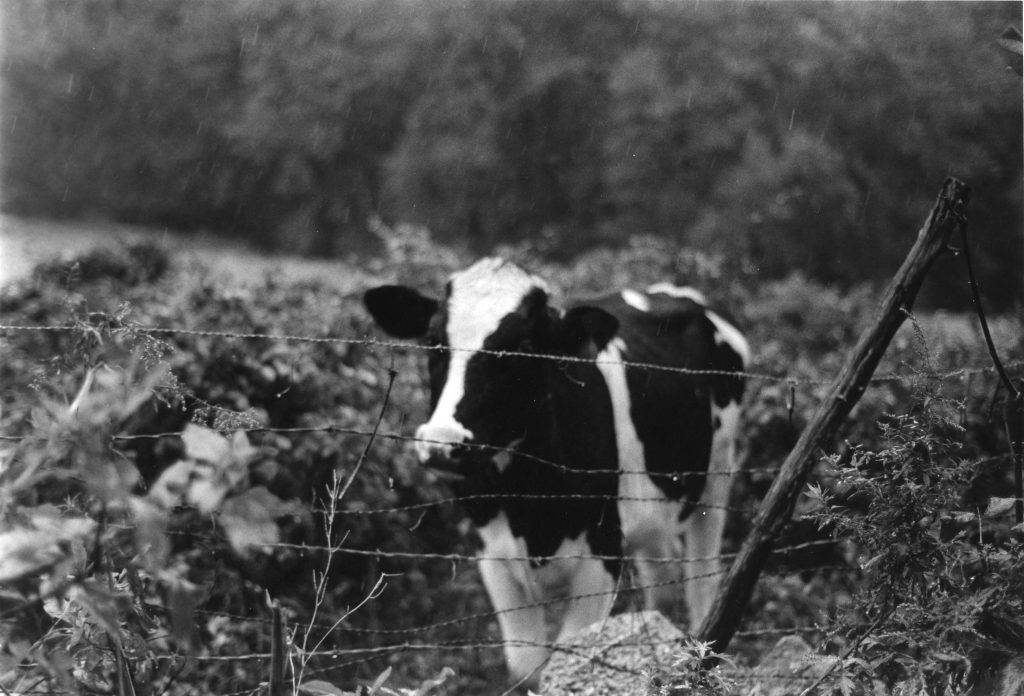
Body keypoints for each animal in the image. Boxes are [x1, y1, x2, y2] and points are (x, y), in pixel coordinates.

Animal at [363, 257, 749, 689]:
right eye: (433, 340)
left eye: (524, 347)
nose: (443, 442)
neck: (527, 506)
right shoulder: (493, 558)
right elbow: (526, 670)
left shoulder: (601, 554)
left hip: (717, 475)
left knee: (702, 578)